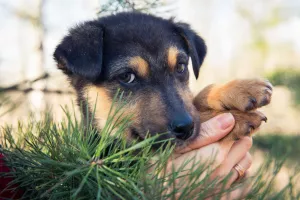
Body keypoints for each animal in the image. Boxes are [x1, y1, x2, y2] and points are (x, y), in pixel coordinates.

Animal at [53, 12, 272, 152]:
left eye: (181, 67)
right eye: (126, 77)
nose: (185, 128)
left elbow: (196, 99)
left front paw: (241, 89)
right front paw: (237, 117)